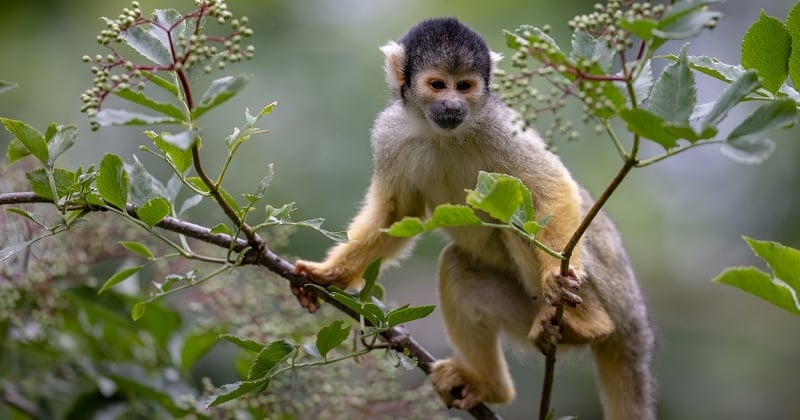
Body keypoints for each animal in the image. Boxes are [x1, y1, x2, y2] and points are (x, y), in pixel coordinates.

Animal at [294, 18, 656, 418]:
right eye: (438, 85)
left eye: (464, 86)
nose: (453, 104)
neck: (443, 133)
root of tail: (637, 325)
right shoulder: (389, 134)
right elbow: (397, 215)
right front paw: (329, 274)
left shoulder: (501, 125)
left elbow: (552, 190)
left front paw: (556, 277)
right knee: (458, 265)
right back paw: (491, 387)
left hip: (610, 294)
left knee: (522, 220)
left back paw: (587, 325)